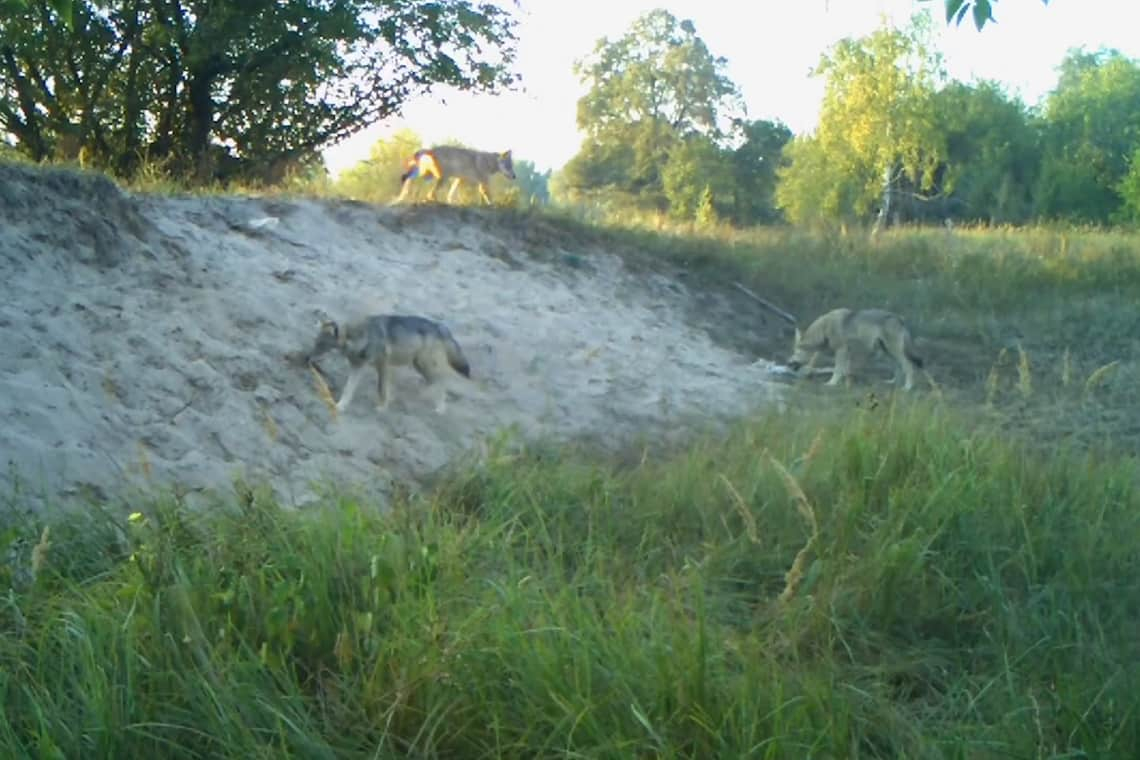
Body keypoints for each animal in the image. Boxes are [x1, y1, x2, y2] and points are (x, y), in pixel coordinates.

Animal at [303, 314, 471, 417]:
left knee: (442, 383)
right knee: (435, 383)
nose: (307, 358)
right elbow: (348, 390)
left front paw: (382, 408)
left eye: (322, 346)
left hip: (425, 365)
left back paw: (440, 408)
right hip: (419, 365)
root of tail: (440, 326)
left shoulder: (383, 366)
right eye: (316, 343)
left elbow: (382, 389)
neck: (363, 336)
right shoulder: (357, 367)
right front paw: (340, 406)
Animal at [788, 309, 930, 391]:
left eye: (795, 352)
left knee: (908, 367)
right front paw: (846, 382)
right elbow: (844, 370)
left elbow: (837, 370)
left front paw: (831, 383)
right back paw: (892, 382)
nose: (788, 363)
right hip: (887, 352)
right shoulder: (846, 353)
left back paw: (907, 387)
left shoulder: (841, 351)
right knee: (898, 368)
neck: (824, 329)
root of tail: (899, 318)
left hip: (895, 352)